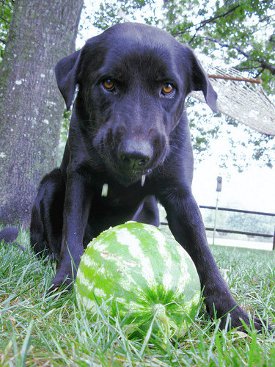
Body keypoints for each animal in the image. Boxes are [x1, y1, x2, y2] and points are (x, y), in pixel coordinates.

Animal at [30, 23, 264, 334]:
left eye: (167, 87)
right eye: (108, 83)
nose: (135, 154)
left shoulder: (180, 196)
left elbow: (204, 255)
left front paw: (233, 314)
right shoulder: (79, 179)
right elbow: (72, 235)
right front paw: (66, 284)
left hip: (151, 210)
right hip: (51, 183)